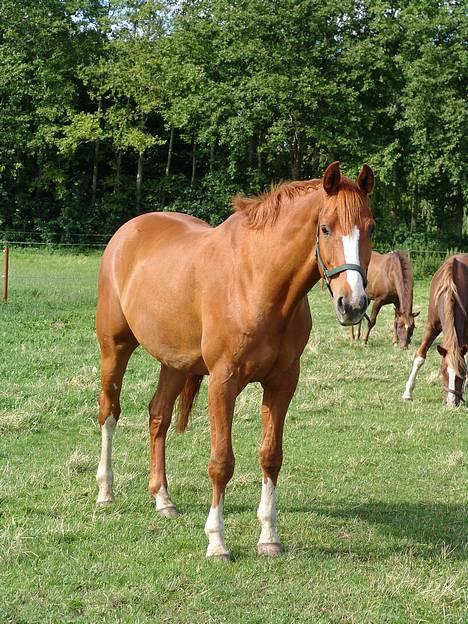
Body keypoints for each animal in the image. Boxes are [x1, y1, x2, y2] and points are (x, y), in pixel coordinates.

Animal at [96, 162, 376, 560]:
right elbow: (221, 463)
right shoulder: (223, 382)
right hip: (114, 349)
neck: (257, 281)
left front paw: (269, 537)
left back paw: (163, 498)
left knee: (158, 417)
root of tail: (127, 232)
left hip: (174, 363)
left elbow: (271, 456)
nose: (352, 304)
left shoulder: (282, 382)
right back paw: (105, 491)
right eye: (325, 228)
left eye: (371, 228)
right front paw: (217, 541)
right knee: (109, 412)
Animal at [402, 255, 468, 408]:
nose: (451, 403)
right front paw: (408, 392)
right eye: (443, 370)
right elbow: (419, 357)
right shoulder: (431, 326)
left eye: (462, 372)